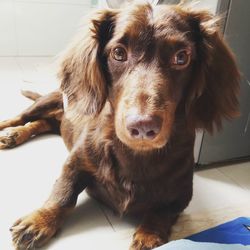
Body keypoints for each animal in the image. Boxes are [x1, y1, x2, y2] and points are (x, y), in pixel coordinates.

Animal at [0, 2, 240, 250]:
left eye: (181, 57)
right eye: (118, 53)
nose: (143, 127)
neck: (136, 154)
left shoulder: (182, 195)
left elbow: (161, 213)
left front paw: (149, 237)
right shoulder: (75, 163)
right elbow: (63, 194)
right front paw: (38, 221)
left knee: (42, 123)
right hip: (46, 101)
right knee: (23, 117)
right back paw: (10, 132)